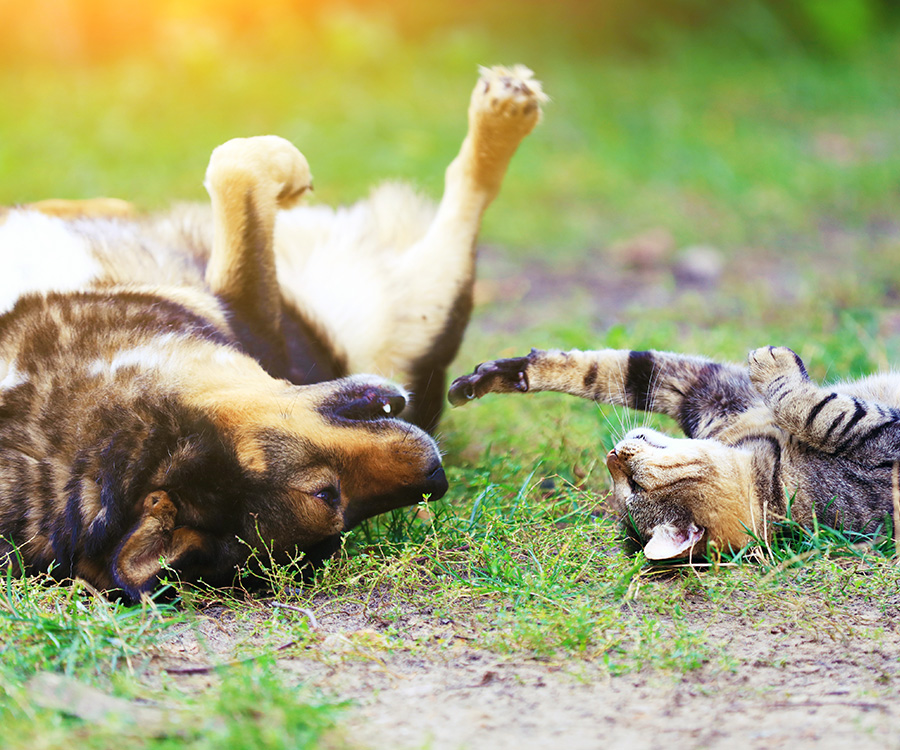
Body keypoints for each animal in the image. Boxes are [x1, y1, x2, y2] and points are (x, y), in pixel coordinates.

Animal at [0, 67, 548, 604]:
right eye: (330, 499)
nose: (437, 478)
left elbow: (222, 167)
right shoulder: (254, 317)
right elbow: (238, 167)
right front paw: (289, 173)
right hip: (416, 307)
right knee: (467, 202)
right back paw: (503, 114)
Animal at [446, 346, 896, 560]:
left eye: (631, 483)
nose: (612, 454)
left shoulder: (711, 392)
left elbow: (612, 369)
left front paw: (495, 375)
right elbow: (823, 412)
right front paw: (777, 365)